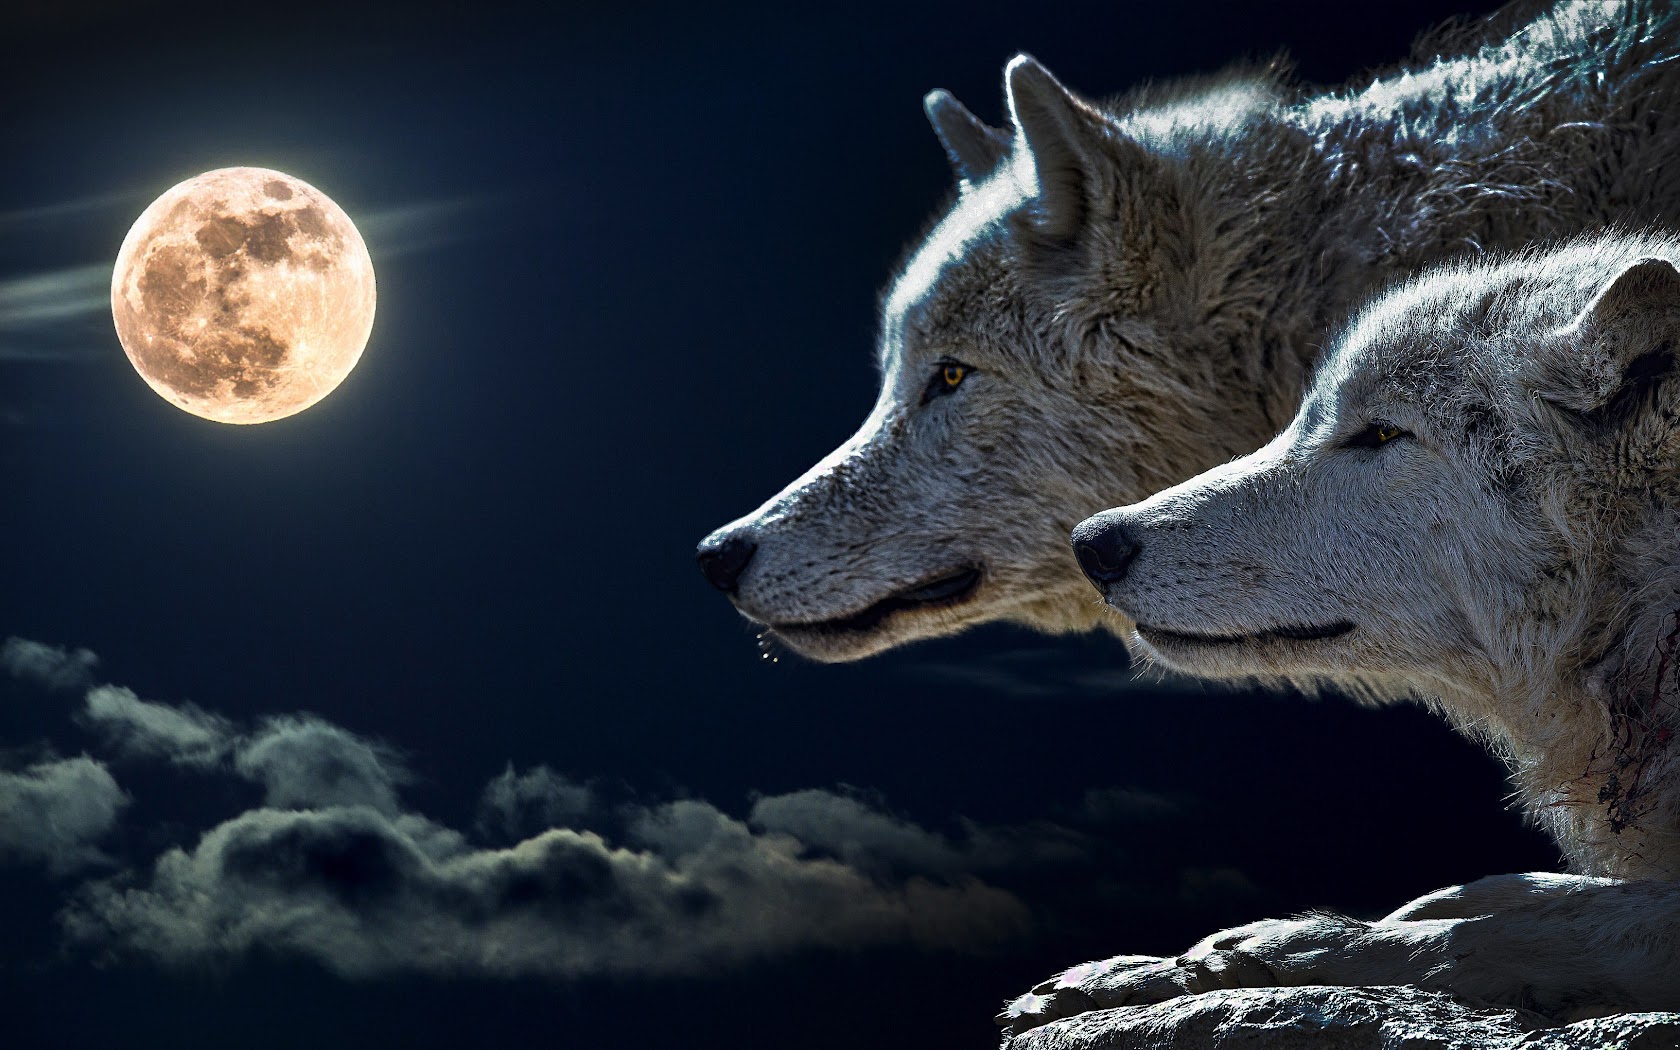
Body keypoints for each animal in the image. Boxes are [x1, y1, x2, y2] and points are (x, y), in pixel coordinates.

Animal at [1004, 231, 1680, 1032]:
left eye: (1381, 432)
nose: (1094, 543)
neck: (1651, 602)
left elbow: (1494, 932)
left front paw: (1274, 948)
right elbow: (1502, 892)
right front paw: (1139, 969)